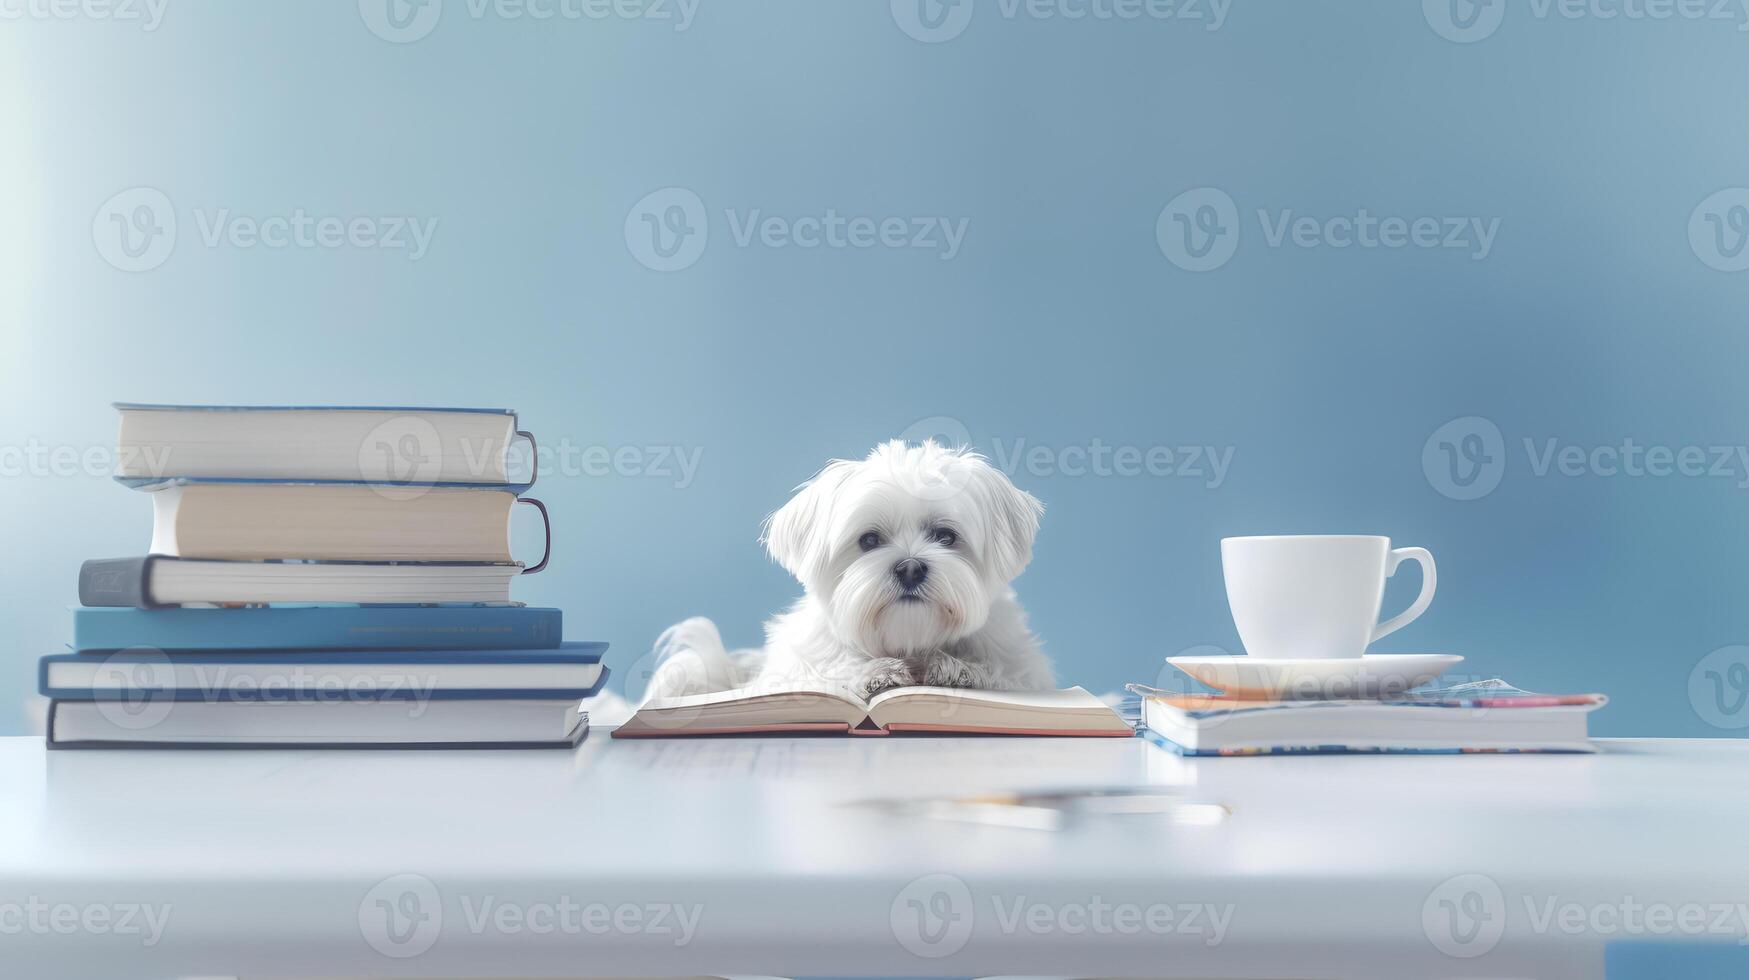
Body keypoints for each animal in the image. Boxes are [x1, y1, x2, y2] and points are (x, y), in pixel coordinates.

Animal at [643, 441, 1049, 700]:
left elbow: (1005, 672)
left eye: (946, 536)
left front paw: (960, 668)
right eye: (869, 540)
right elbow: (825, 669)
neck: (911, 642)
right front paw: (874, 672)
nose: (910, 568)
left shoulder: (1021, 663)